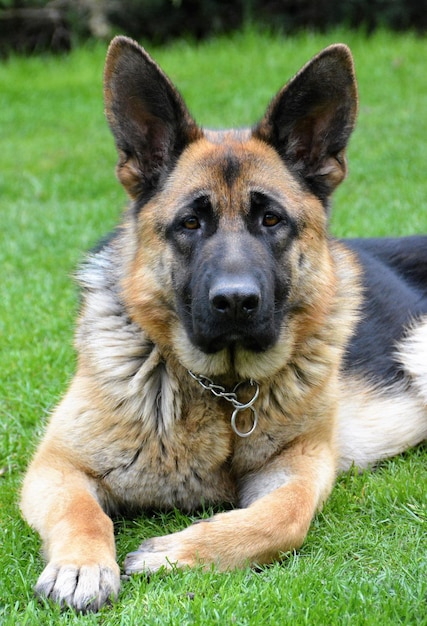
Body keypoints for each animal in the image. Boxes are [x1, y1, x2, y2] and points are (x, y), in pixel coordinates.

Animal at [20, 36, 427, 608]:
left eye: (271, 220)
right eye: (190, 223)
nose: (235, 302)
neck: (223, 392)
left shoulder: (302, 464)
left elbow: (283, 518)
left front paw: (175, 553)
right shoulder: (56, 465)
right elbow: (81, 511)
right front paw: (82, 565)